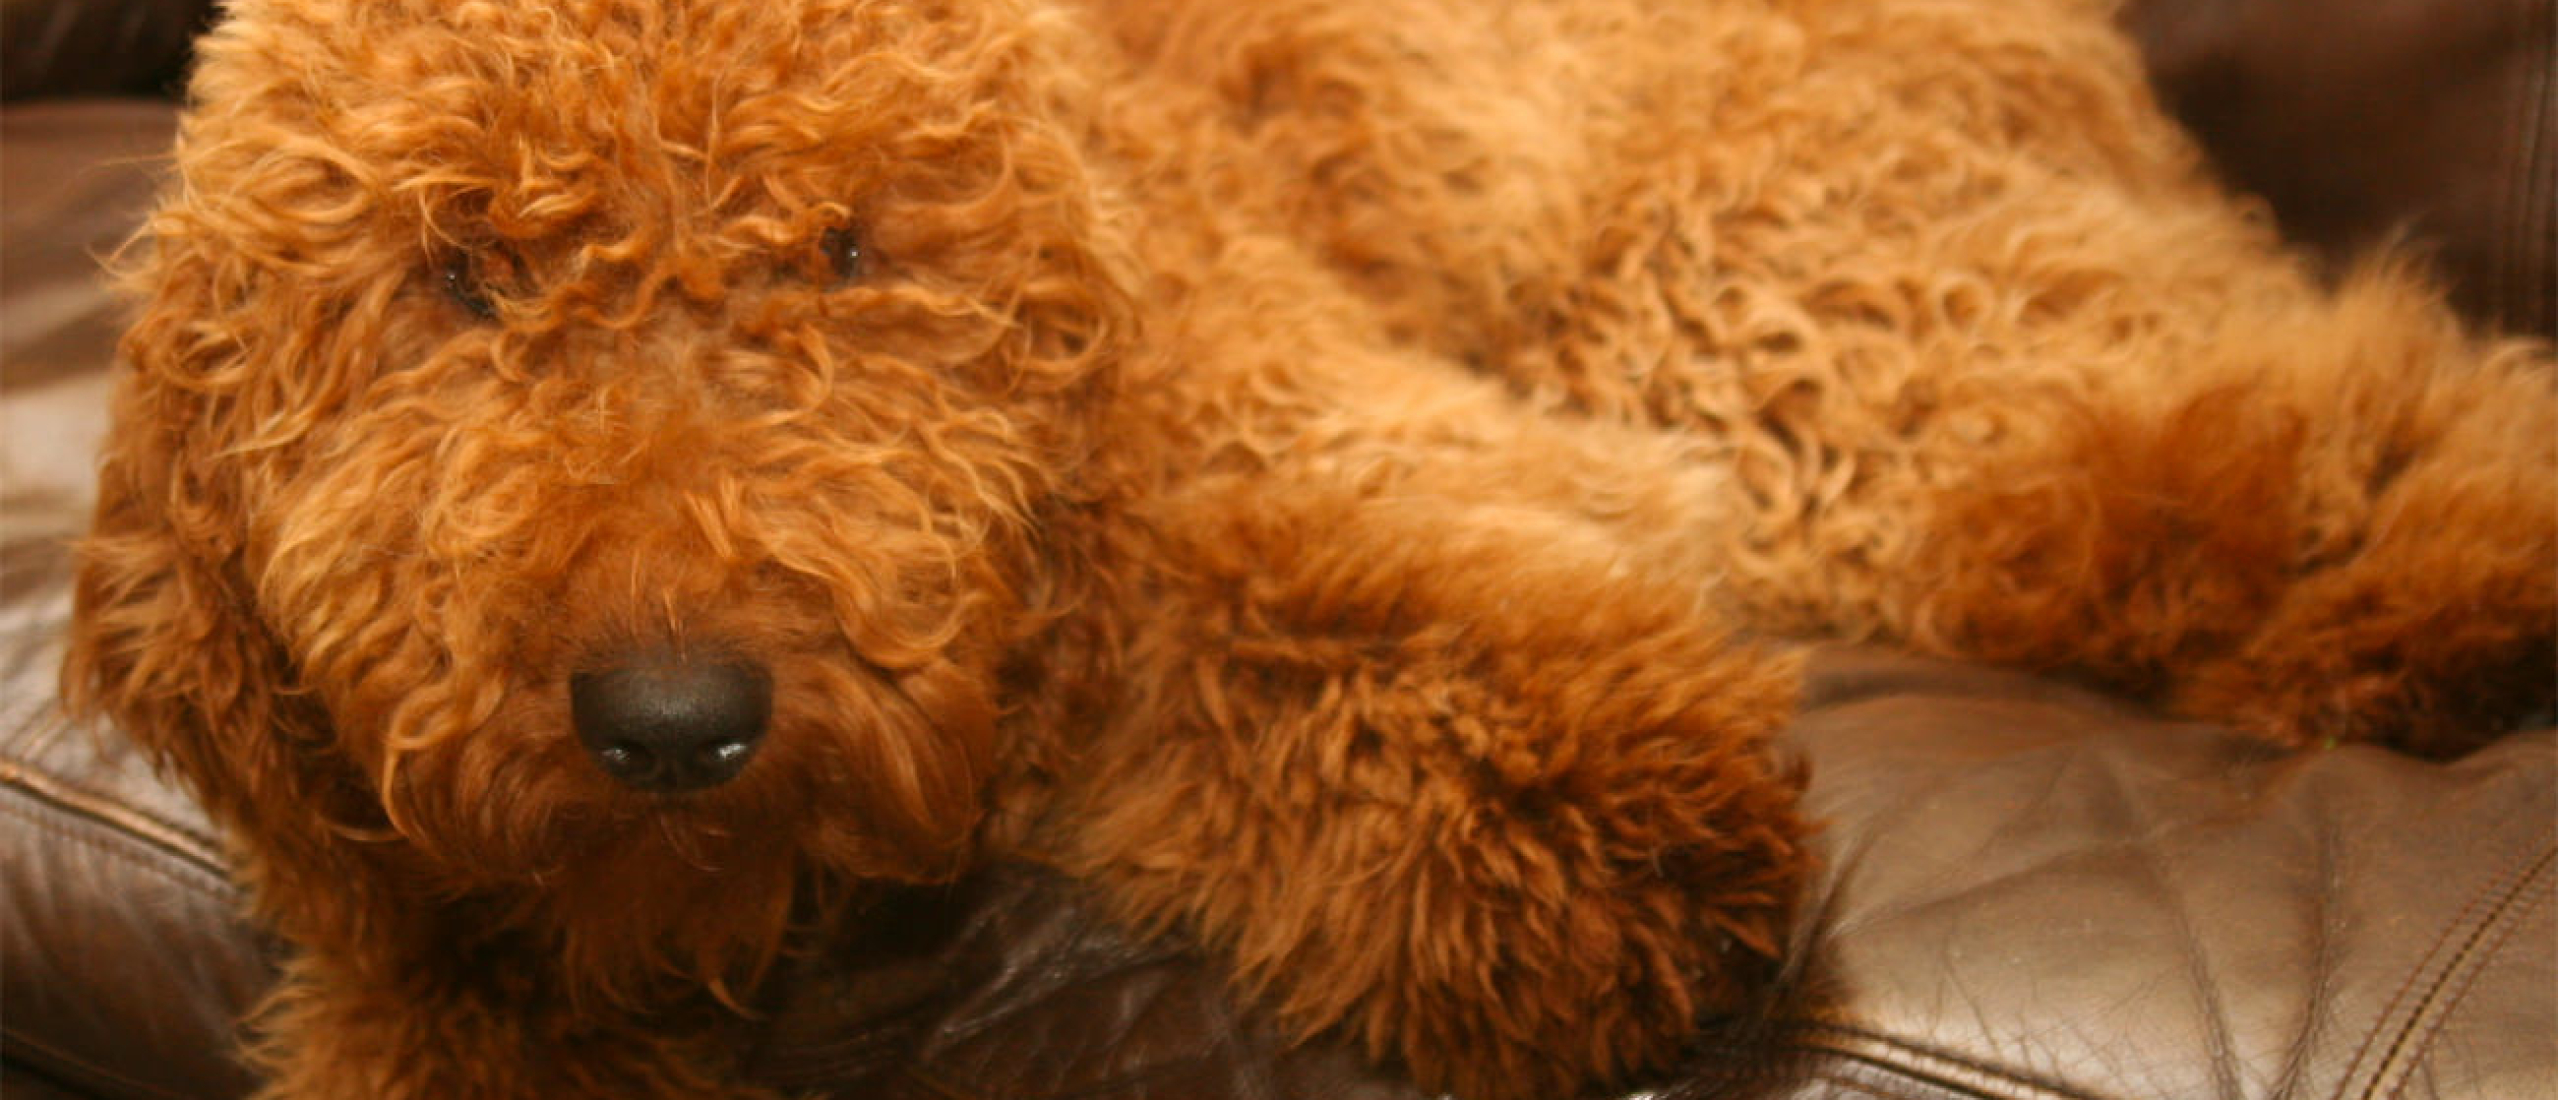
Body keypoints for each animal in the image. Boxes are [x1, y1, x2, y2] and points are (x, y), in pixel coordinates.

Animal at [60, 0, 2558, 1094]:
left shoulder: (1297, 426)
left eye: (847, 257)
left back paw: (2461, 574)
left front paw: (1623, 854)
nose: (676, 720)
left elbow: (1321, 600)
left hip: (1748, 285)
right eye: (456, 280)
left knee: (2244, 386)